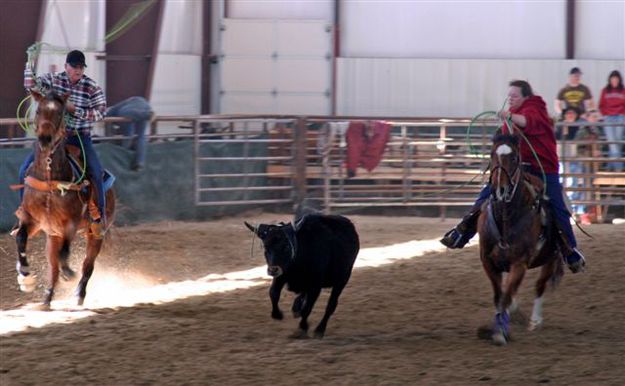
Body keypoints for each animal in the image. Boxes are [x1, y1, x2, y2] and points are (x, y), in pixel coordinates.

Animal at [13, 90, 114, 310]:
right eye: (39, 110)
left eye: (60, 113)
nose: (45, 139)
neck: (51, 178)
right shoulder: (31, 220)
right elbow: (21, 238)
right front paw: (25, 275)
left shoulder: (70, 223)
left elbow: (65, 253)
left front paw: (69, 272)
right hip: (52, 236)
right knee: (53, 268)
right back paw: (47, 299)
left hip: (95, 235)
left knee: (87, 265)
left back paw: (78, 294)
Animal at [480, 134, 564, 346]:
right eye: (491, 154)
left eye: (515, 158)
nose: (500, 190)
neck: (507, 218)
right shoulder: (488, 261)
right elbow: (499, 295)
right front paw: (500, 325)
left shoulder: (519, 264)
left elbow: (506, 296)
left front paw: (500, 333)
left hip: (551, 258)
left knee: (540, 285)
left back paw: (535, 321)